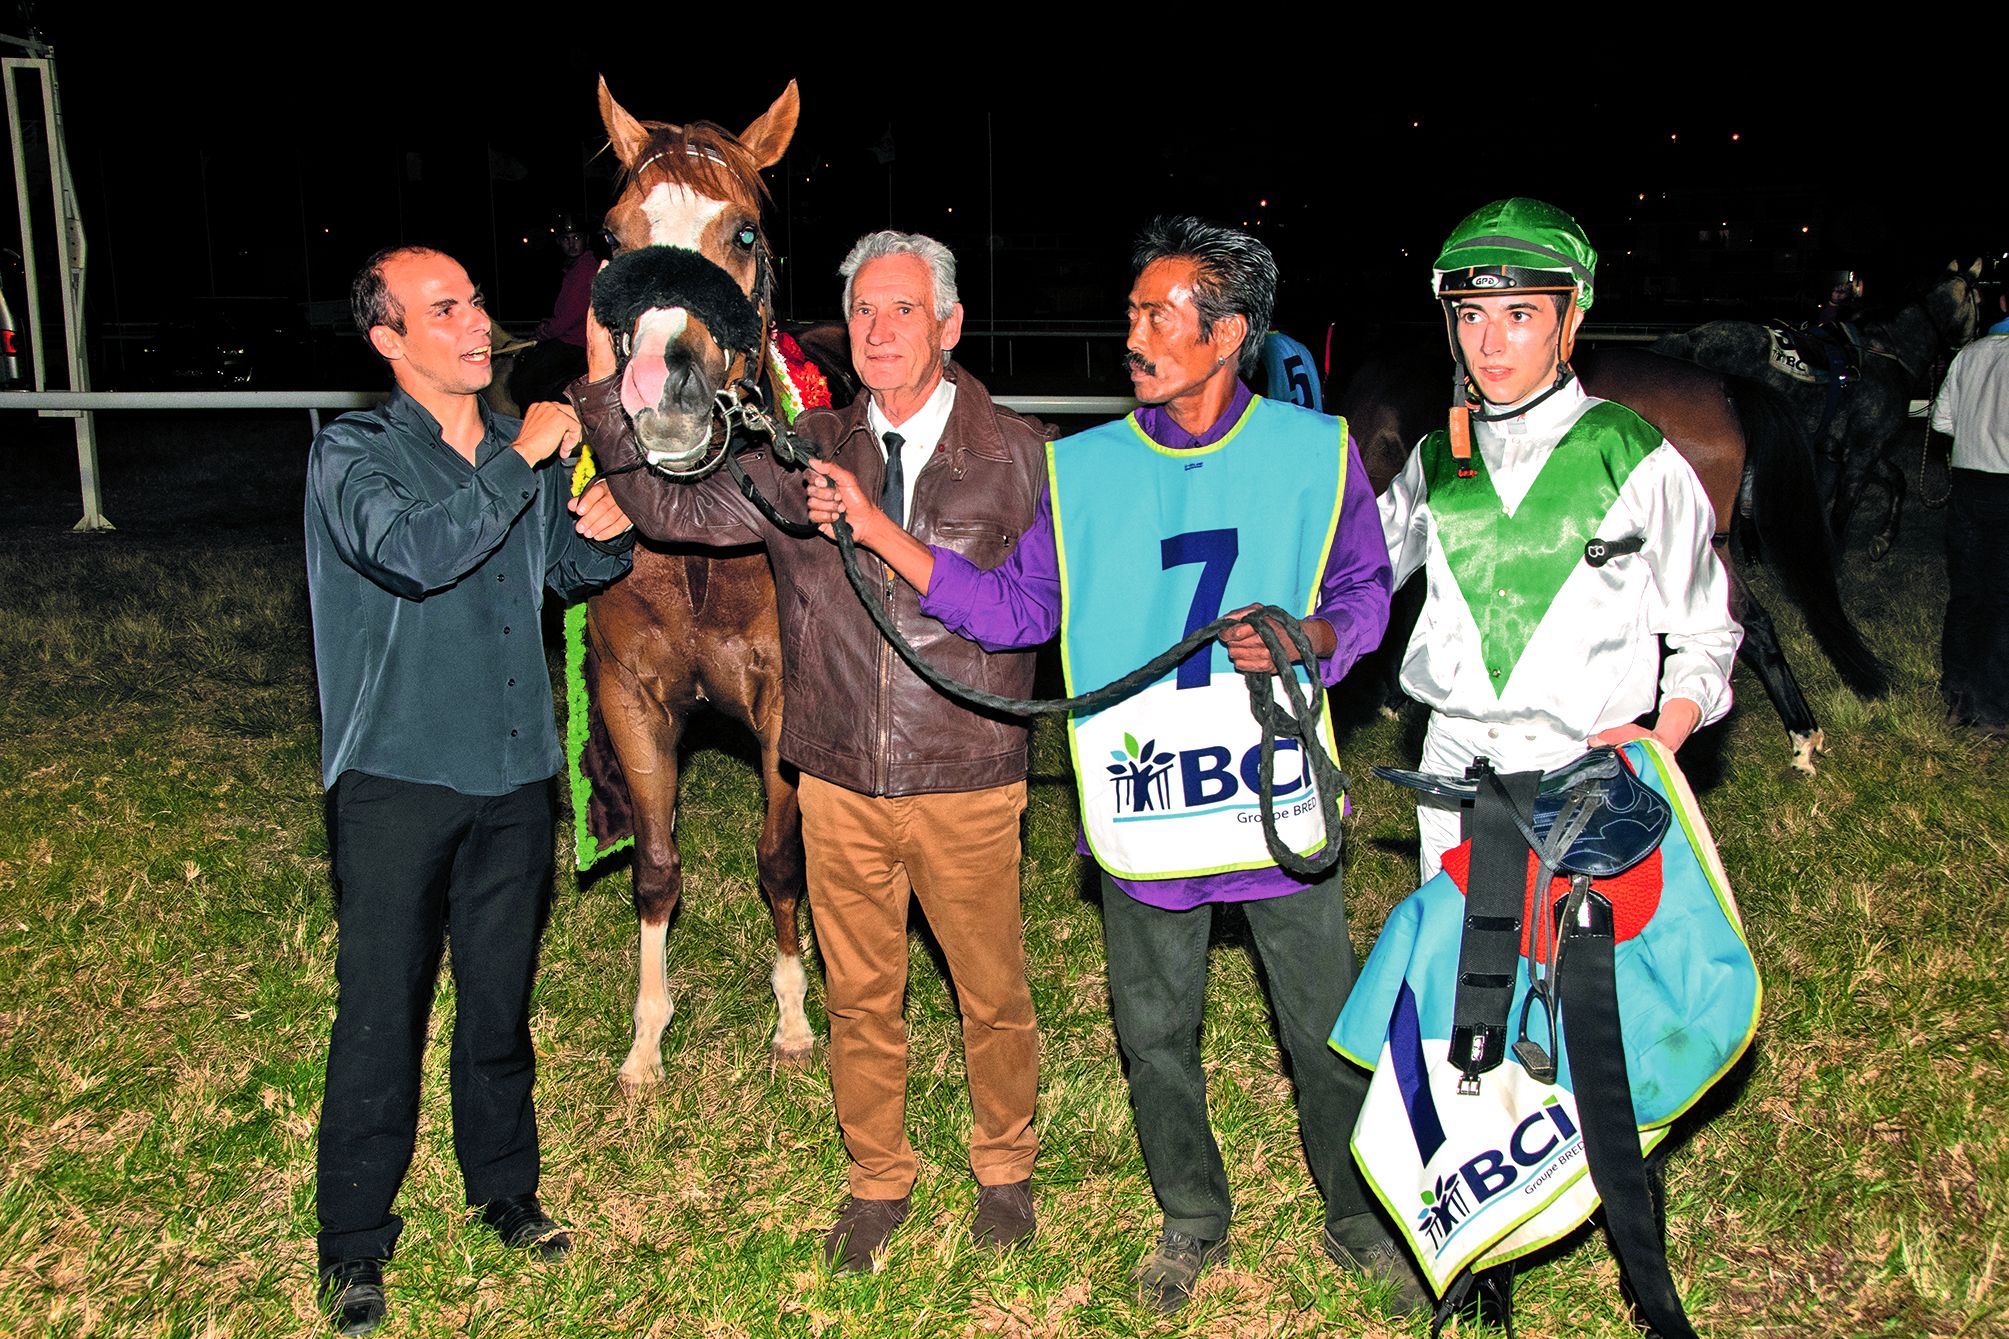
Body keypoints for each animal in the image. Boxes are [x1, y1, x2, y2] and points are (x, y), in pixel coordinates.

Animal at [1655, 260, 1984, 562]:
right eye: (1978, 300)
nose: (1972, 339)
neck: (1890, 353)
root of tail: (1689, 339)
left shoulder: (1851, 449)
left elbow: (1897, 478)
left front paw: (1883, 539)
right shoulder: (1863, 450)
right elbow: (1843, 512)